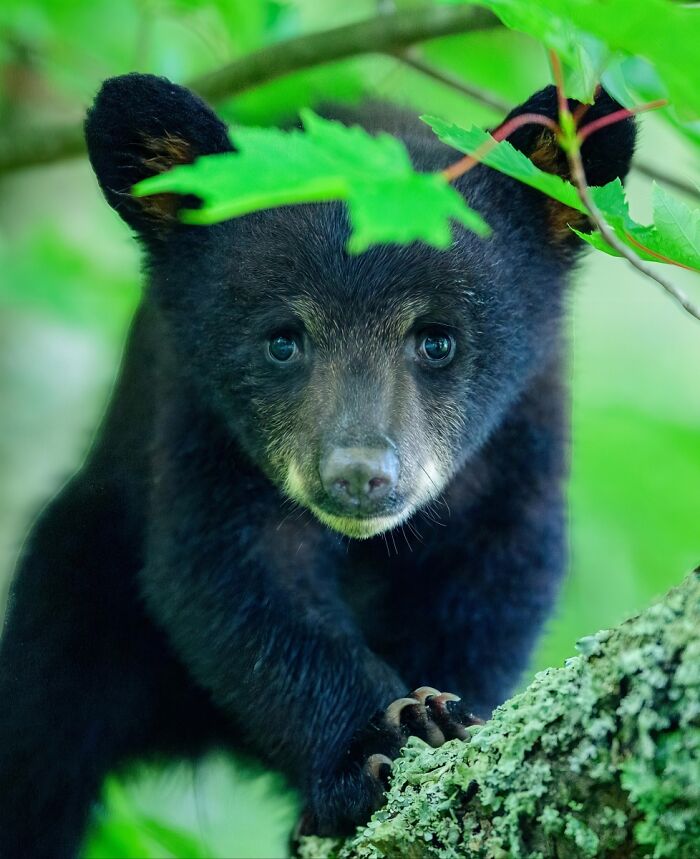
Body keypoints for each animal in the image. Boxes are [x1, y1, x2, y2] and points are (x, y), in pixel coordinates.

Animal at [0, 73, 635, 858]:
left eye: (437, 339)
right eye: (282, 339)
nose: (358, 474)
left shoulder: (521, 443)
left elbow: (495, 581)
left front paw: (450, 713)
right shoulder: (201, 427)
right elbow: (237, 581)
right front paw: (375, 743)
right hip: (76, 586)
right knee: (39, 740)